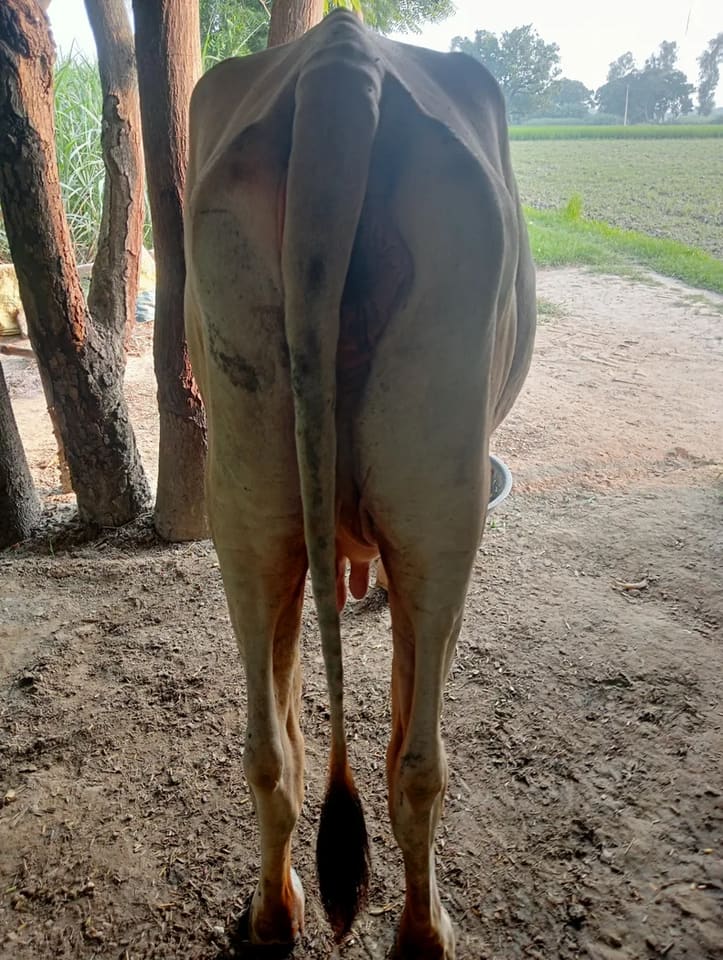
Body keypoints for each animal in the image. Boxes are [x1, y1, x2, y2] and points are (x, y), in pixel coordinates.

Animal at [184, 10, 535, 958]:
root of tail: (341, 62)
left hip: (246, 499)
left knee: (271, 751)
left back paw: (273, 915)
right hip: (442, 506)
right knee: (416, 765)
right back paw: (424, 931)